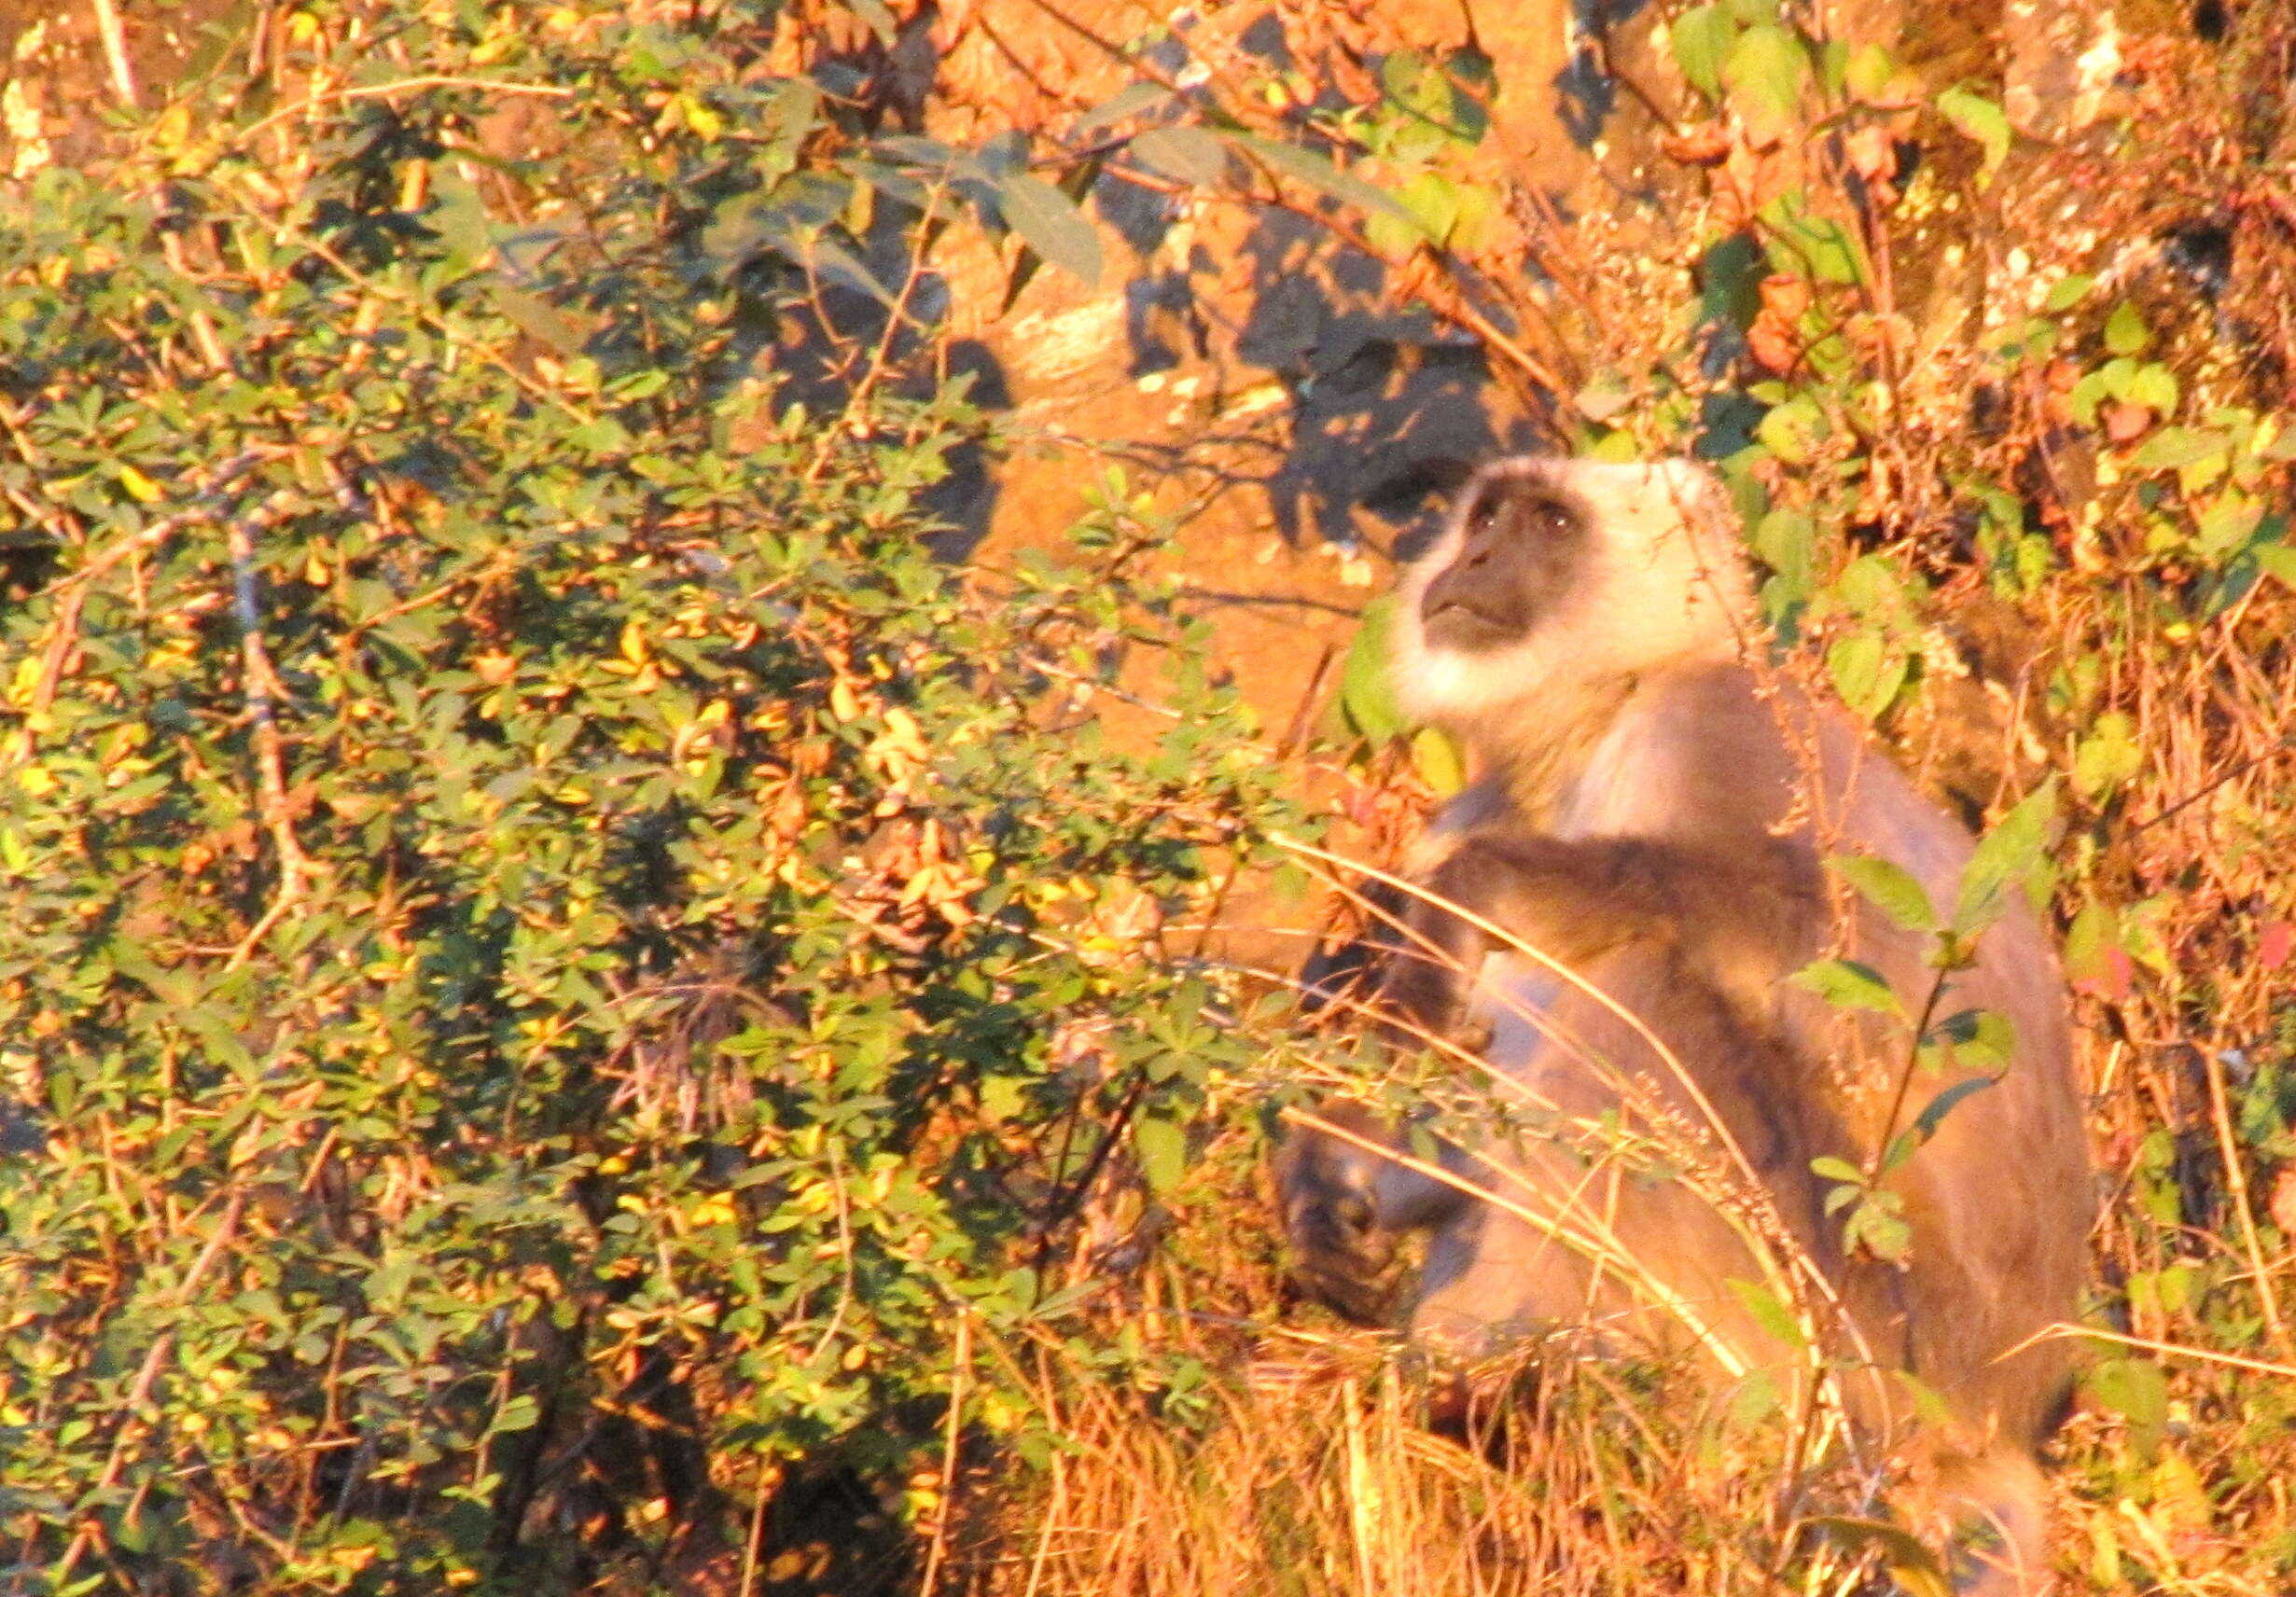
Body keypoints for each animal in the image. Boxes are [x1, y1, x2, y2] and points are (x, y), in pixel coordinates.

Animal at [1286, 454, 2094, 1588]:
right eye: (1485, 517)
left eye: (1549, 523)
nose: (1472, 560)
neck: (1602, 715)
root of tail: (1996, 1428)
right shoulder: (1473, 807)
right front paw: (1323, 1183)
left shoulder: (1719, 720)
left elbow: (1800, 928)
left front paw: (1485, 893)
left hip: (1863, 1348)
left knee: (1641, 985)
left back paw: (1480, 1360)